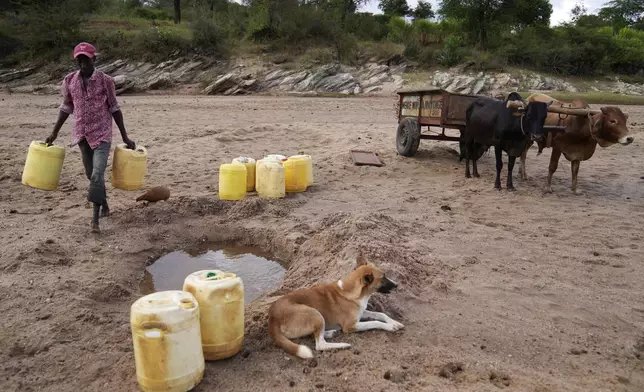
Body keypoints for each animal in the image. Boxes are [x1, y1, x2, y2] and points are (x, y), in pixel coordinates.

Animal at [268, 254, 402, 358]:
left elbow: (380, 314)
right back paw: (342, 345)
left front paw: (394, 322)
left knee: (316, 335)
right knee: (320, 344)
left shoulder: (362, 312)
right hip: (315, 314)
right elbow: (374, 322)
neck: (352, 291)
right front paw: (390, 327)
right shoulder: (350, 326)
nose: (397, 285)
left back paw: (330, 332)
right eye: (383, 277)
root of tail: (272, 318)